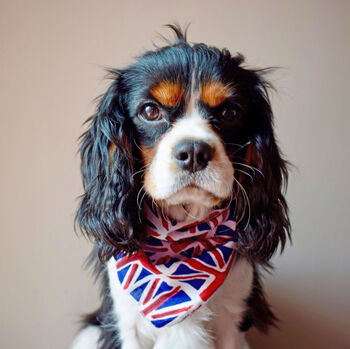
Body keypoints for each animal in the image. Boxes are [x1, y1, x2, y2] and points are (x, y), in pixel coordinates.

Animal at [72, 25, 290, 348]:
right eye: (150, 111)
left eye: (230, 113)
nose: (195, 152)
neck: (182, 237)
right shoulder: (125, 325)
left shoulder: (233, 318)